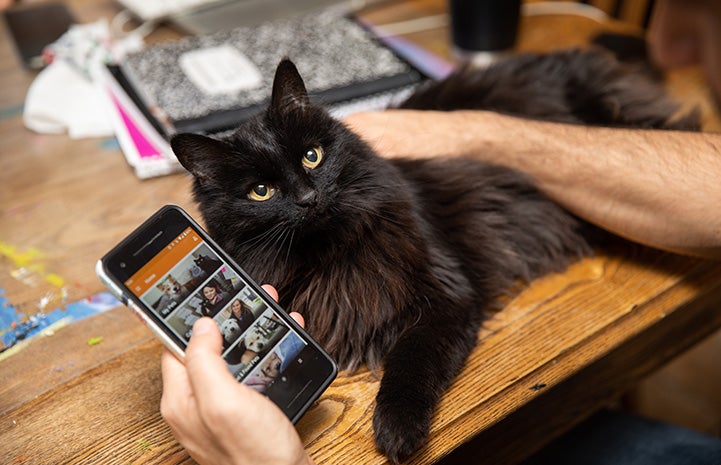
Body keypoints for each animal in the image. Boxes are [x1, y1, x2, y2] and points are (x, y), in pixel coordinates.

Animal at [170, 47, 696, 460]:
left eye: (311, 157)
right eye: (261, 191)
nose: (307, 198)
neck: (331, 253)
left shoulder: (448, 296)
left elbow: (410, 366)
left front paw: (397, 431)